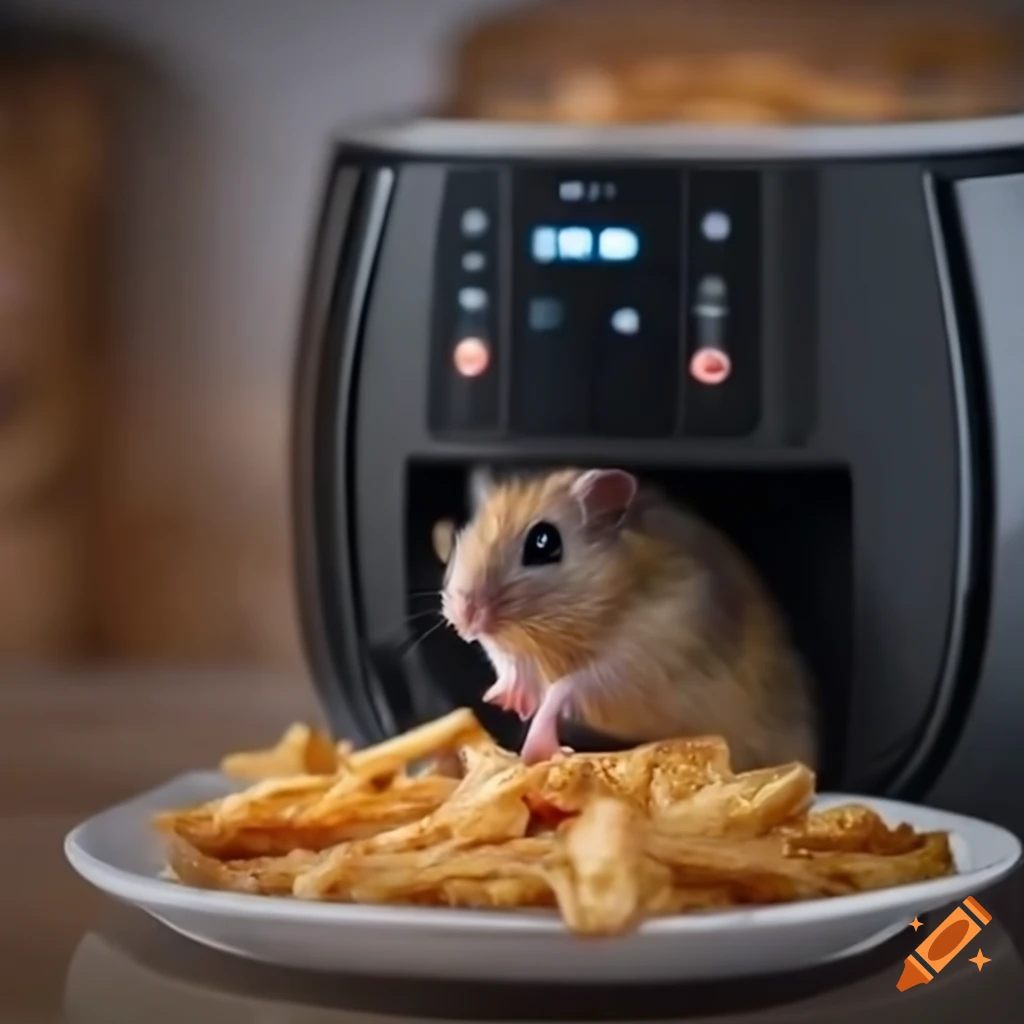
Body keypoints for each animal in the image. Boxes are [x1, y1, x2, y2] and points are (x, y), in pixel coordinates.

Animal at [440, 467, 818, 771]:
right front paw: (504, 699)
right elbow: (511, 666)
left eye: (543, 542)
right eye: (467, 531)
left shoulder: (637, 662)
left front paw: (540, 748)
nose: (463, 621)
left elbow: (564, 689)